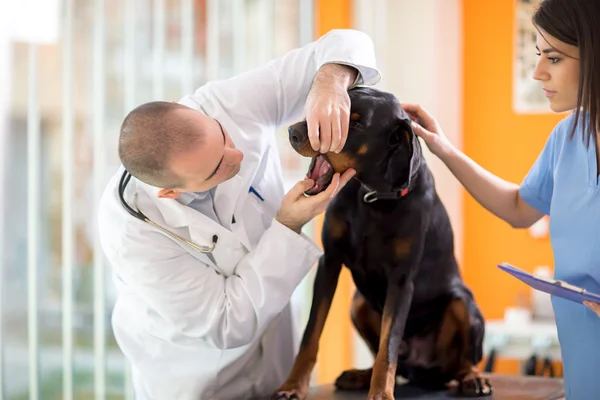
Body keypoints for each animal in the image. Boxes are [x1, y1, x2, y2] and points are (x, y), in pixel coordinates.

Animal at [272, 88, 492, 400]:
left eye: (356, 124)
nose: (294, 132)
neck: (373, 196)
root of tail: (421, 368)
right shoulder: (330, 262)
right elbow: (311, 334)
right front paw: (293, 386)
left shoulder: (401, 280)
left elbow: (388, 348)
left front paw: (381, 394)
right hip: (358, 303)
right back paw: (359, 376)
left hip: (463, 304)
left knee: (462, 361)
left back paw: (473, 378)